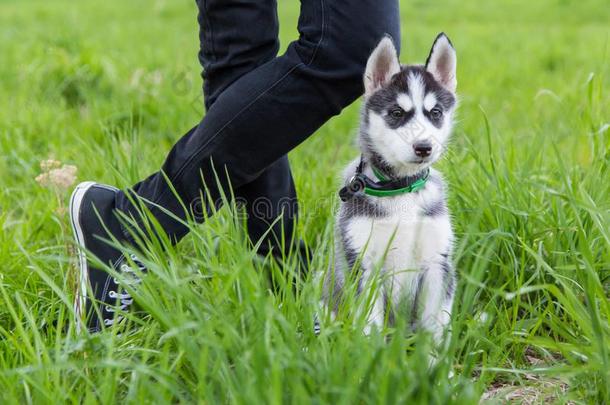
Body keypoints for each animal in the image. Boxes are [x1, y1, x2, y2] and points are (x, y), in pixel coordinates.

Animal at [324, 32, 456, 344]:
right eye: (397, 112)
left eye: (435, 112)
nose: (424, 147)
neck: (400, 191)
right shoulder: (362, 266)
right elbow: (370, 328)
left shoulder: (437, 264)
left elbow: (434, 329)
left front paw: (435, 359)